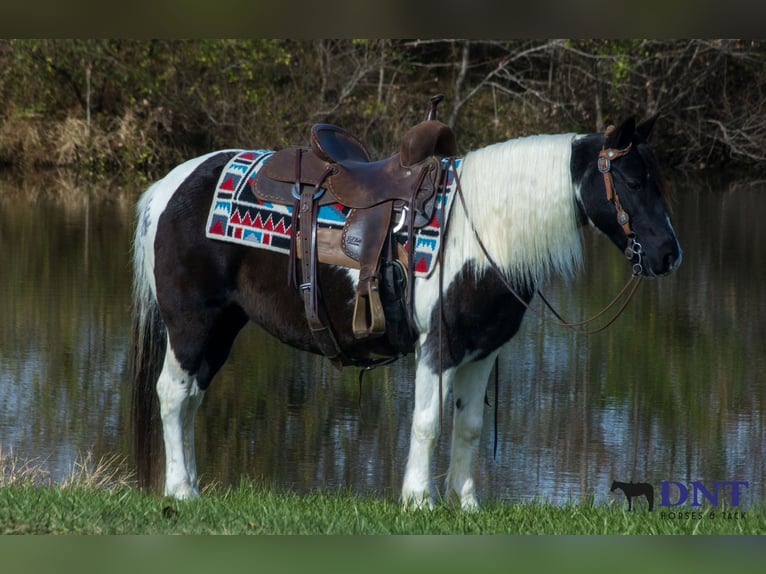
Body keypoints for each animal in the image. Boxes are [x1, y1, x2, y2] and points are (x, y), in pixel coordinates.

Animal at [130, 115, 682, 509]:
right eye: (632, 181)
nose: (668, 255)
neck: (480, 232)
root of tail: (167, 188)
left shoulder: (482, 352)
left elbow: (468, 426)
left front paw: (466, 503)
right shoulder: (438, 347)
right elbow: (427, 421)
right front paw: (419, 500)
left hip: (221, 327)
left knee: (192, 398)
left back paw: (192, 484)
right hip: (191, 323)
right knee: (173, 395)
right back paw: (180, 490)